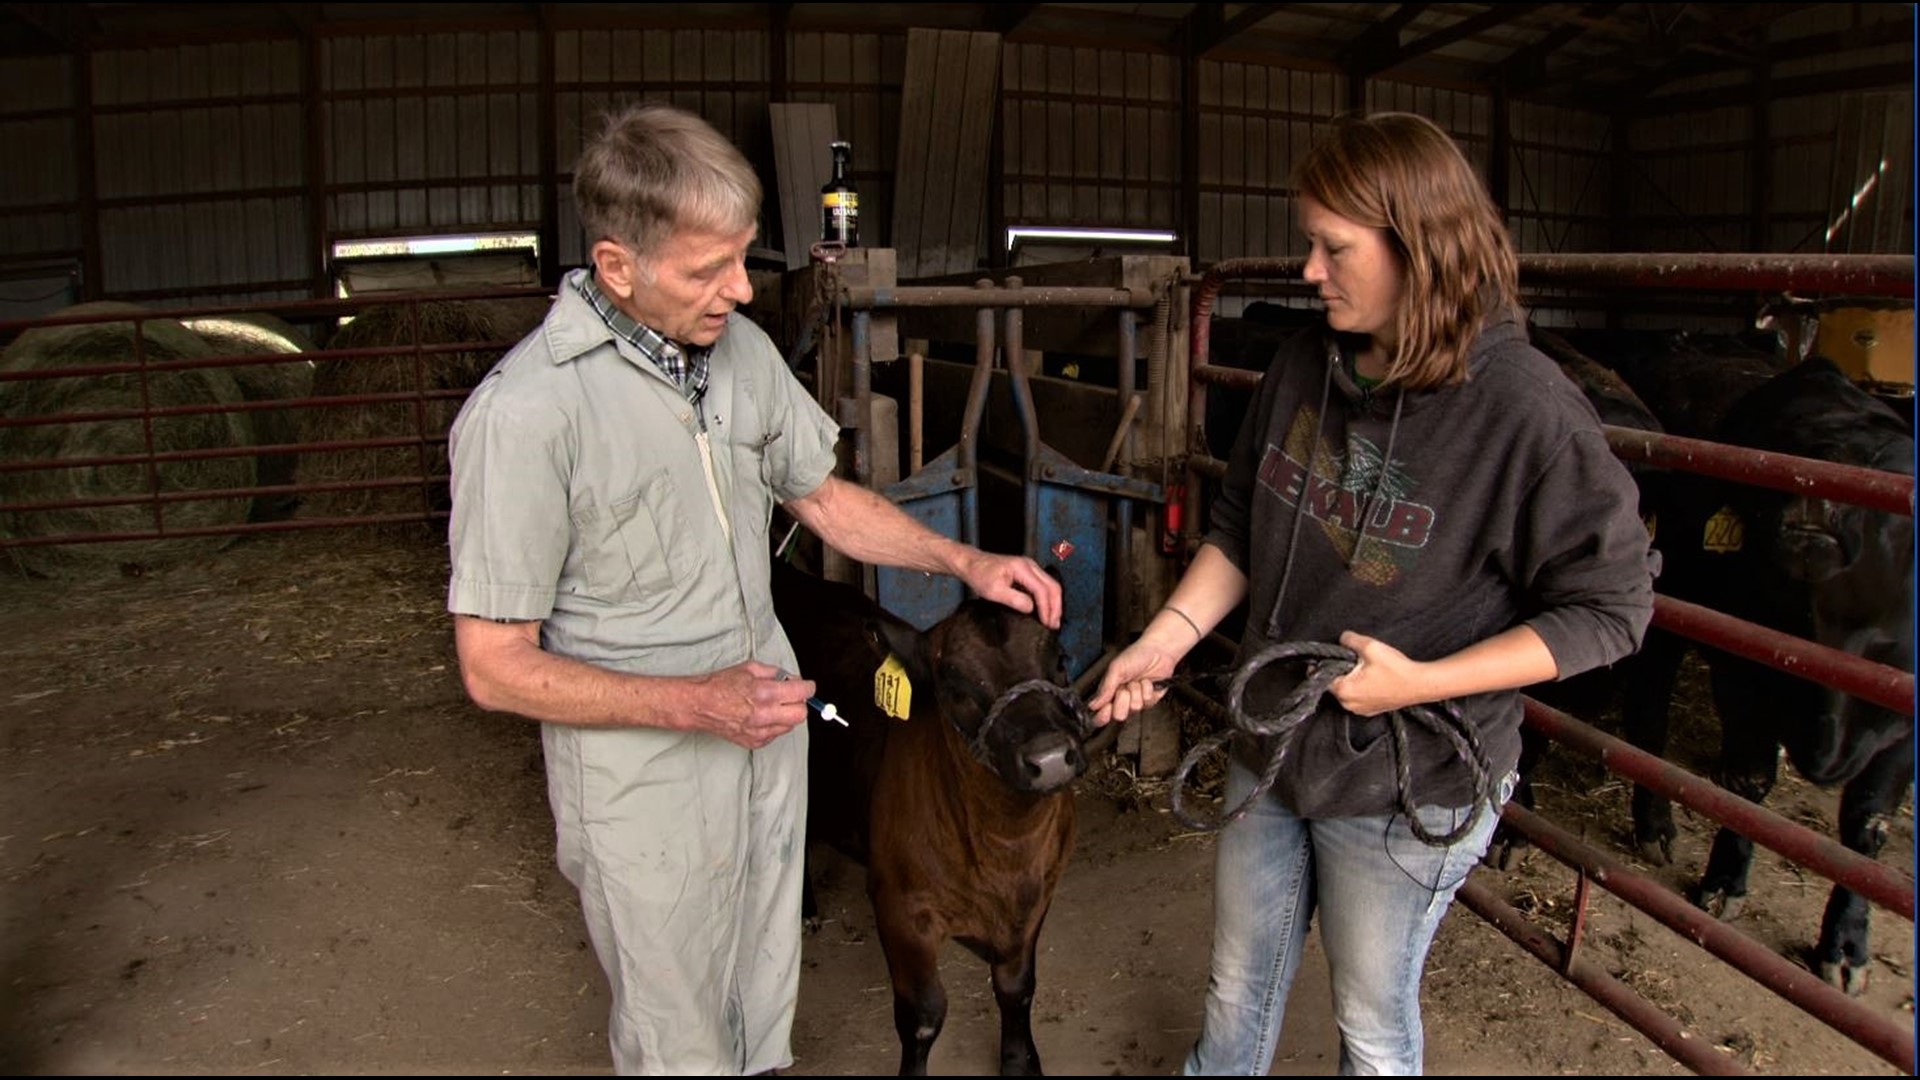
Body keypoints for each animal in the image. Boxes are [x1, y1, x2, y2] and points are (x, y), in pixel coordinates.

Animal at [768, 557, 1098, 1068]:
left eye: (1061, 661)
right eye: (955, 687)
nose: (1049, 759)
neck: (1006, 848)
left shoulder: (1040, 893)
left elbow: (1016, 989)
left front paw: (1019, 1061)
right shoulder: (900, 907)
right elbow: (923, 1016)